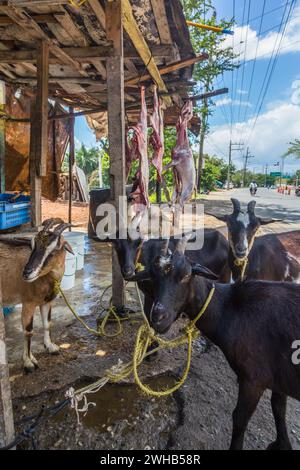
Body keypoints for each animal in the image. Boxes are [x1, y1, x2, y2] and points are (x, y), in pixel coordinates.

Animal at [0, 218, 74, 372]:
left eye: (55, 249)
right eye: (34, 245)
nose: (27, 273)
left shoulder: (47, 301)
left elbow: (47, 323)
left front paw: (51, 347)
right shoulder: (28, 302)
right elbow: (28, 331)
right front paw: (29, 362)